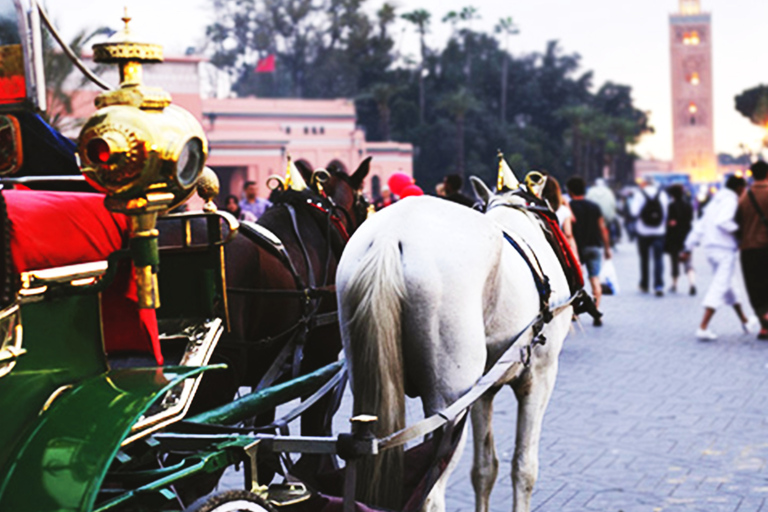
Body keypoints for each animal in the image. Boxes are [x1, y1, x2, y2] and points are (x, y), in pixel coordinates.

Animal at [338, 178, 576, 510]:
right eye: (553, 217)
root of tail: (389, 237)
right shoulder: (540, 376)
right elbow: (524, 467)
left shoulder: (483, 390)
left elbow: (485, 468)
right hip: (449, 403)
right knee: (430, 493)